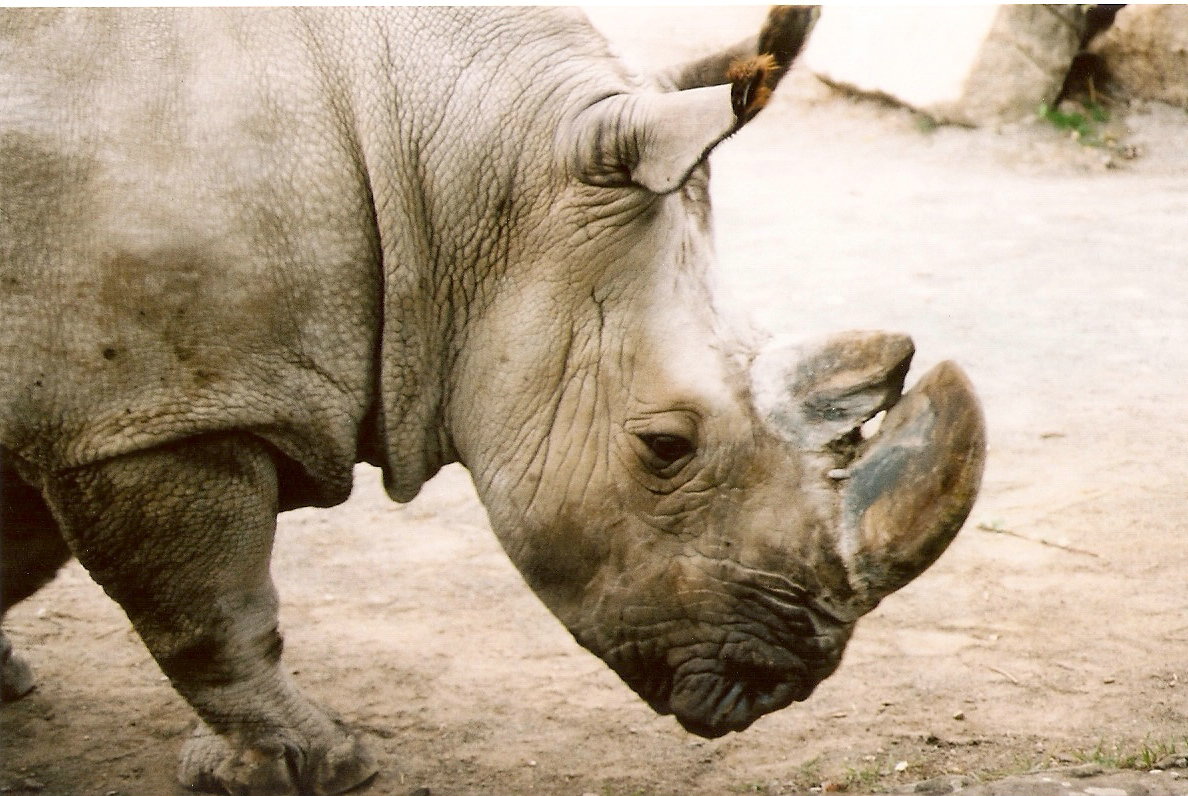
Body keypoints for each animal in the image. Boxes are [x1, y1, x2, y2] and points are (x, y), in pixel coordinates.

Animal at [0, 7, 985, 795]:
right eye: (664, 447)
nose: (784, 682)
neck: (446, 172)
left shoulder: (83, 395)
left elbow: (26, 552)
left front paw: (8, 684)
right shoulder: (151, 412)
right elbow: (213, 607)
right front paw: (310, 768)